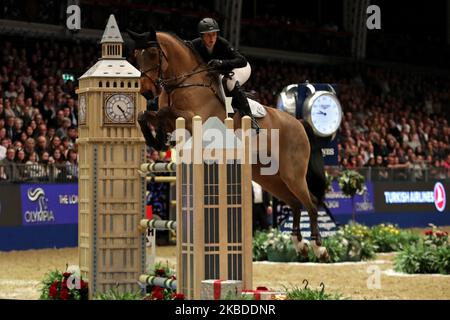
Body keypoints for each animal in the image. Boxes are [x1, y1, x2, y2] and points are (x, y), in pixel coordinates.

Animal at [128, 28, 328, 260]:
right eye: (136, 55)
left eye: (153, 53)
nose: (146, 92)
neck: (183, 83)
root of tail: (298, 122)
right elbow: (146, 115)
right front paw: (156, 140)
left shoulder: (193, 120)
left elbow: (164, 112)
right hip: (269, 176)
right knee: (295, 203)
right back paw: (300, 245)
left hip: (292, 174)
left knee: (310, 203)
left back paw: (318, 247)